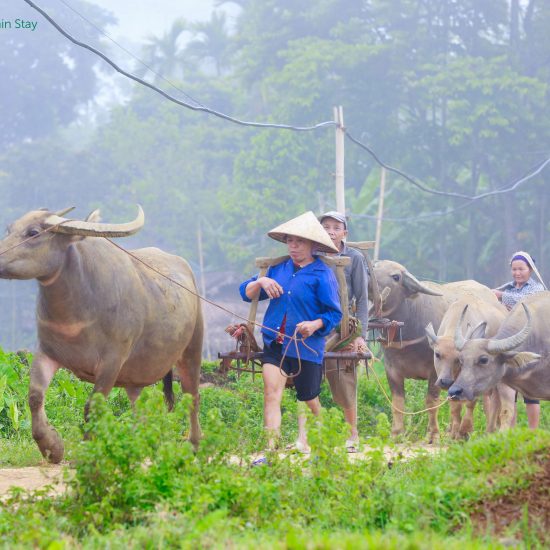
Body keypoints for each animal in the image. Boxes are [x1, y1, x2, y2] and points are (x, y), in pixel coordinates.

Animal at [0, 209, 204, 464]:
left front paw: (88, 451)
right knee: (140, 406)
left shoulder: (112, 362)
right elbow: (35, 397)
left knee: (192, 396)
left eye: (33, 232)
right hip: (134, 376)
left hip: (193, 348)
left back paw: (193, 445)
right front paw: (51, 446)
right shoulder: (47, 352)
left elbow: (91, 407)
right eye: (9, 229)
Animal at [370, 264, 500, 444]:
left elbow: (431, 402)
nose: (369, 283)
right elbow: (397, 402)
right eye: (374, 268)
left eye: (396, 277)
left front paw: (432, 434)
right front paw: (396, 433)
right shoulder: (391, 370)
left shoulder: (435, 373)